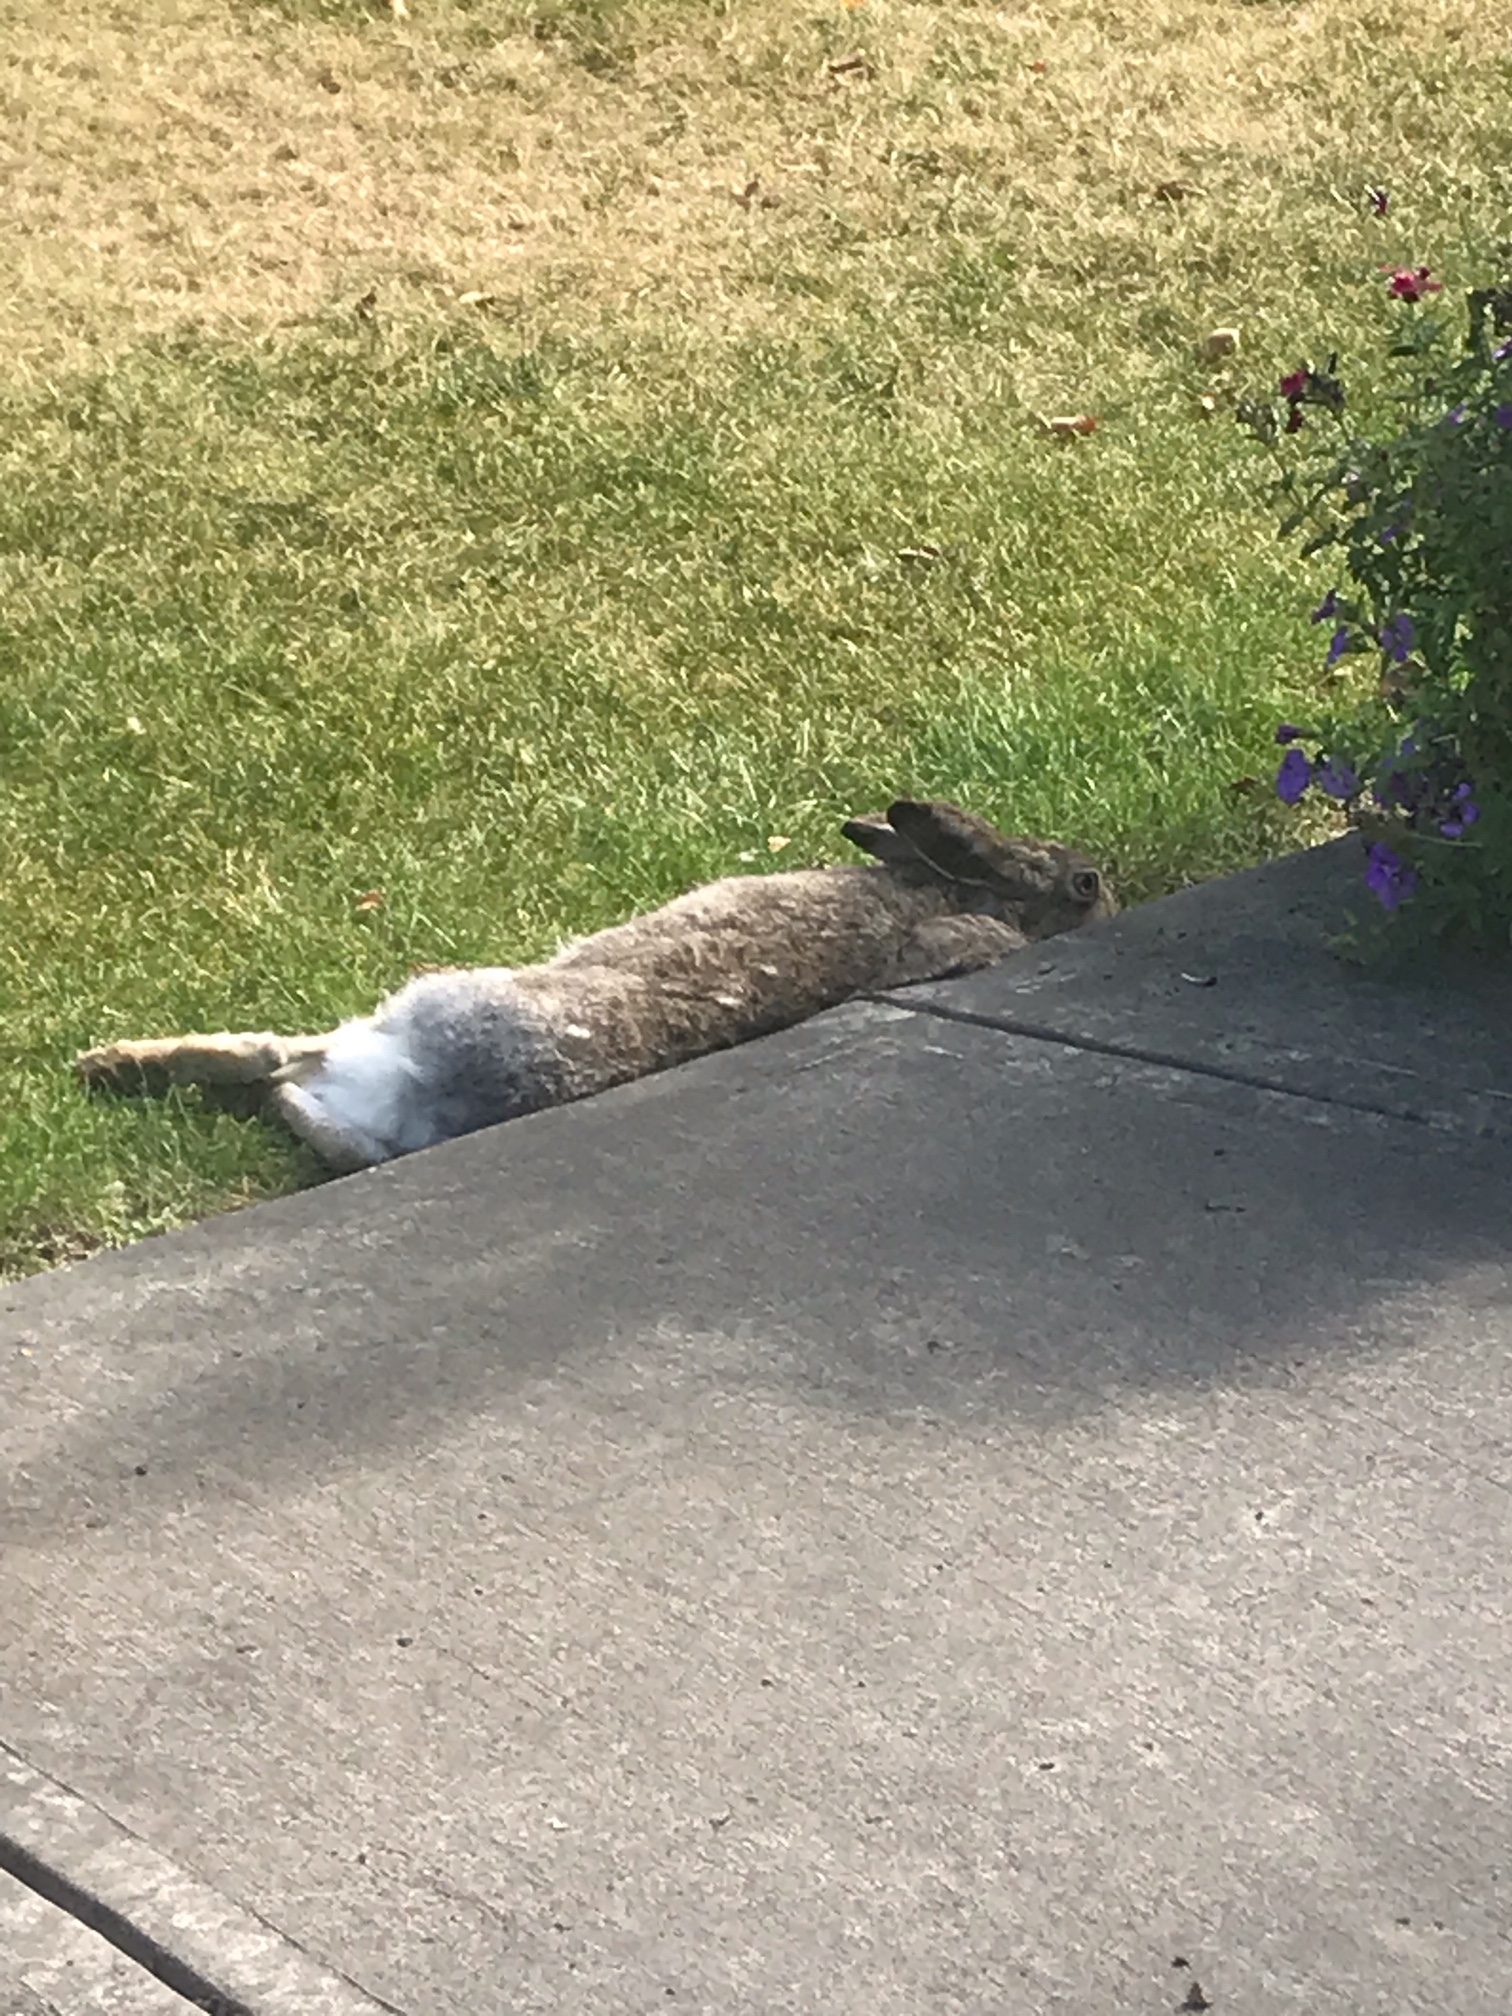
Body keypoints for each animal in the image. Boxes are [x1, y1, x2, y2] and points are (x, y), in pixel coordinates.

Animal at [75, 798, 1116, 1174]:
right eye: (1088, 881)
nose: (1098, 882)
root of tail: (433, 1100)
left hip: (427, 1006)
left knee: (275, 1056)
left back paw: (112, 1063)